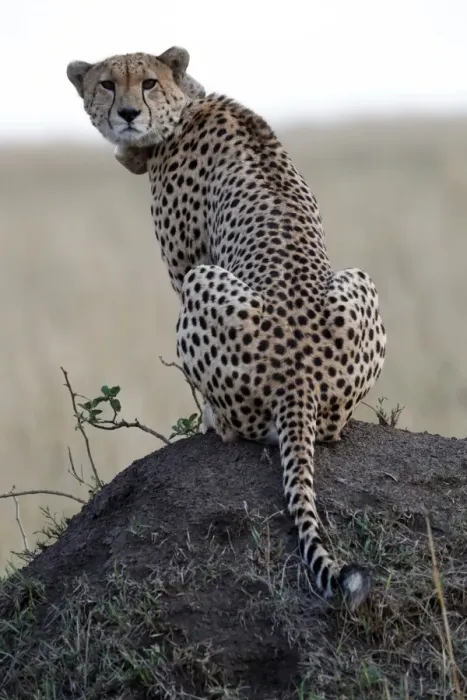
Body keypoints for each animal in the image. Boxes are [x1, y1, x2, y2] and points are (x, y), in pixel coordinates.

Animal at [67, 46, 387, 610]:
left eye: (147, 83)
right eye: (107, 84)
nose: (127, 113)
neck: (185, 106)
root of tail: (299, 380)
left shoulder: (184, 264)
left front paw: (200, 418)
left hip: (203, 281)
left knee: (238, 426)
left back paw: (214, 421)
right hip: (359, 280)